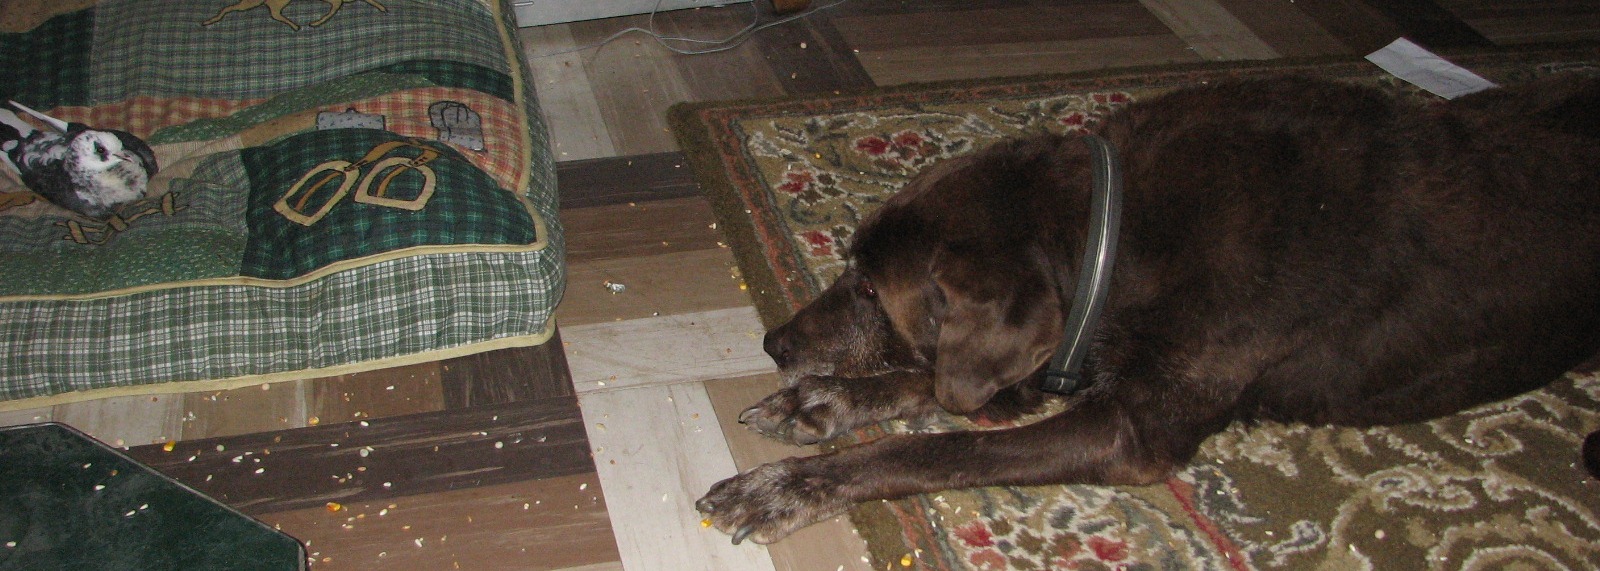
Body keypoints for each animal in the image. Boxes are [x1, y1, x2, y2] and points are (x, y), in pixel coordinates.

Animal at [696, 75, 1600, 545]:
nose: (775, 342)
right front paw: (822, 401)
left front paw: (792, 484)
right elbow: (940, 382)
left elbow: (939, 444)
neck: (1115, 232)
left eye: (869, 287)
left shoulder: (1131, 429)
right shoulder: (1070, 345)